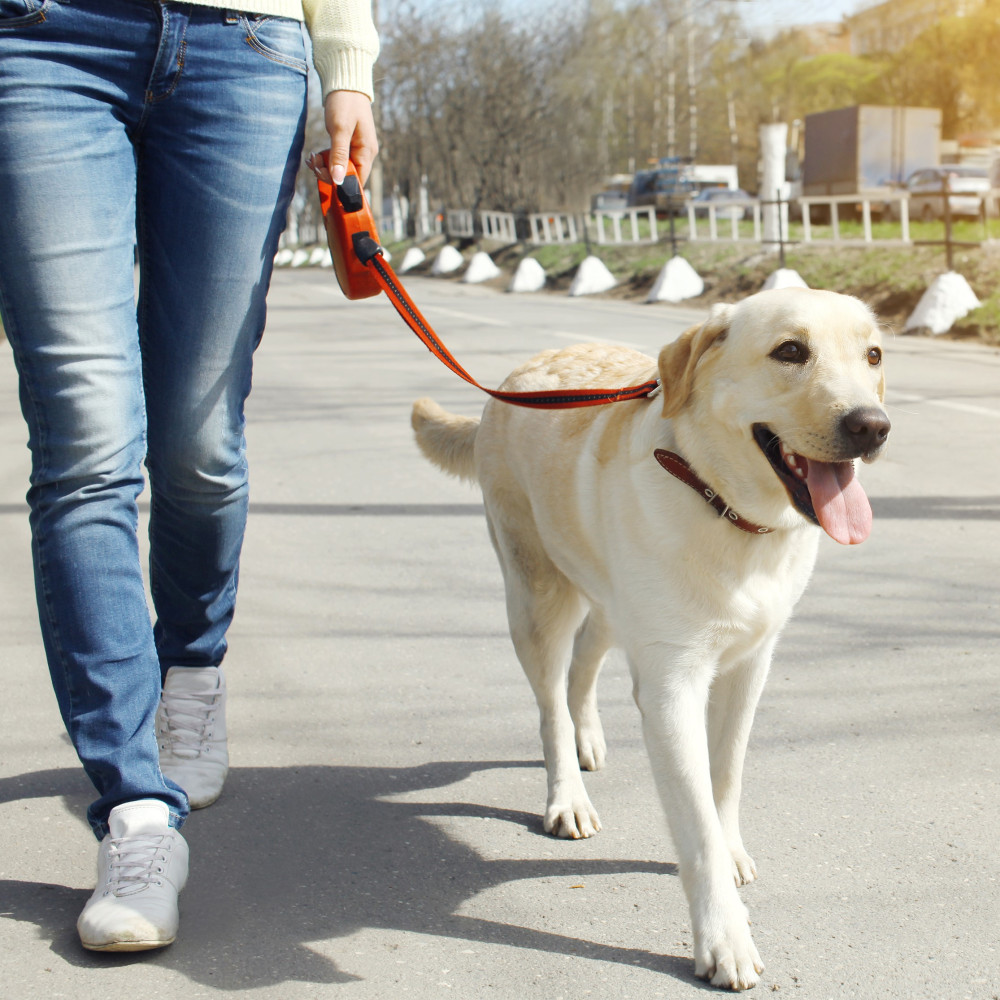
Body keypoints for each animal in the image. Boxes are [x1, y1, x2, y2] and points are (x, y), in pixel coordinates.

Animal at [410, 286, 888, 988]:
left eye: (873, 354)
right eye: (790, 351)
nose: (872, 426)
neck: (727, 510)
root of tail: (518, 377)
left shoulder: (750, 667)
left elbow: (726, 778)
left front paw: (731, 847)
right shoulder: (671, 687)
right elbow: (696, 824)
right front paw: (725, 938)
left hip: (610, 600)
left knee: (584, 664)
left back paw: (588, 739)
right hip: (536, 598)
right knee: (550, 702)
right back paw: (567, 794)